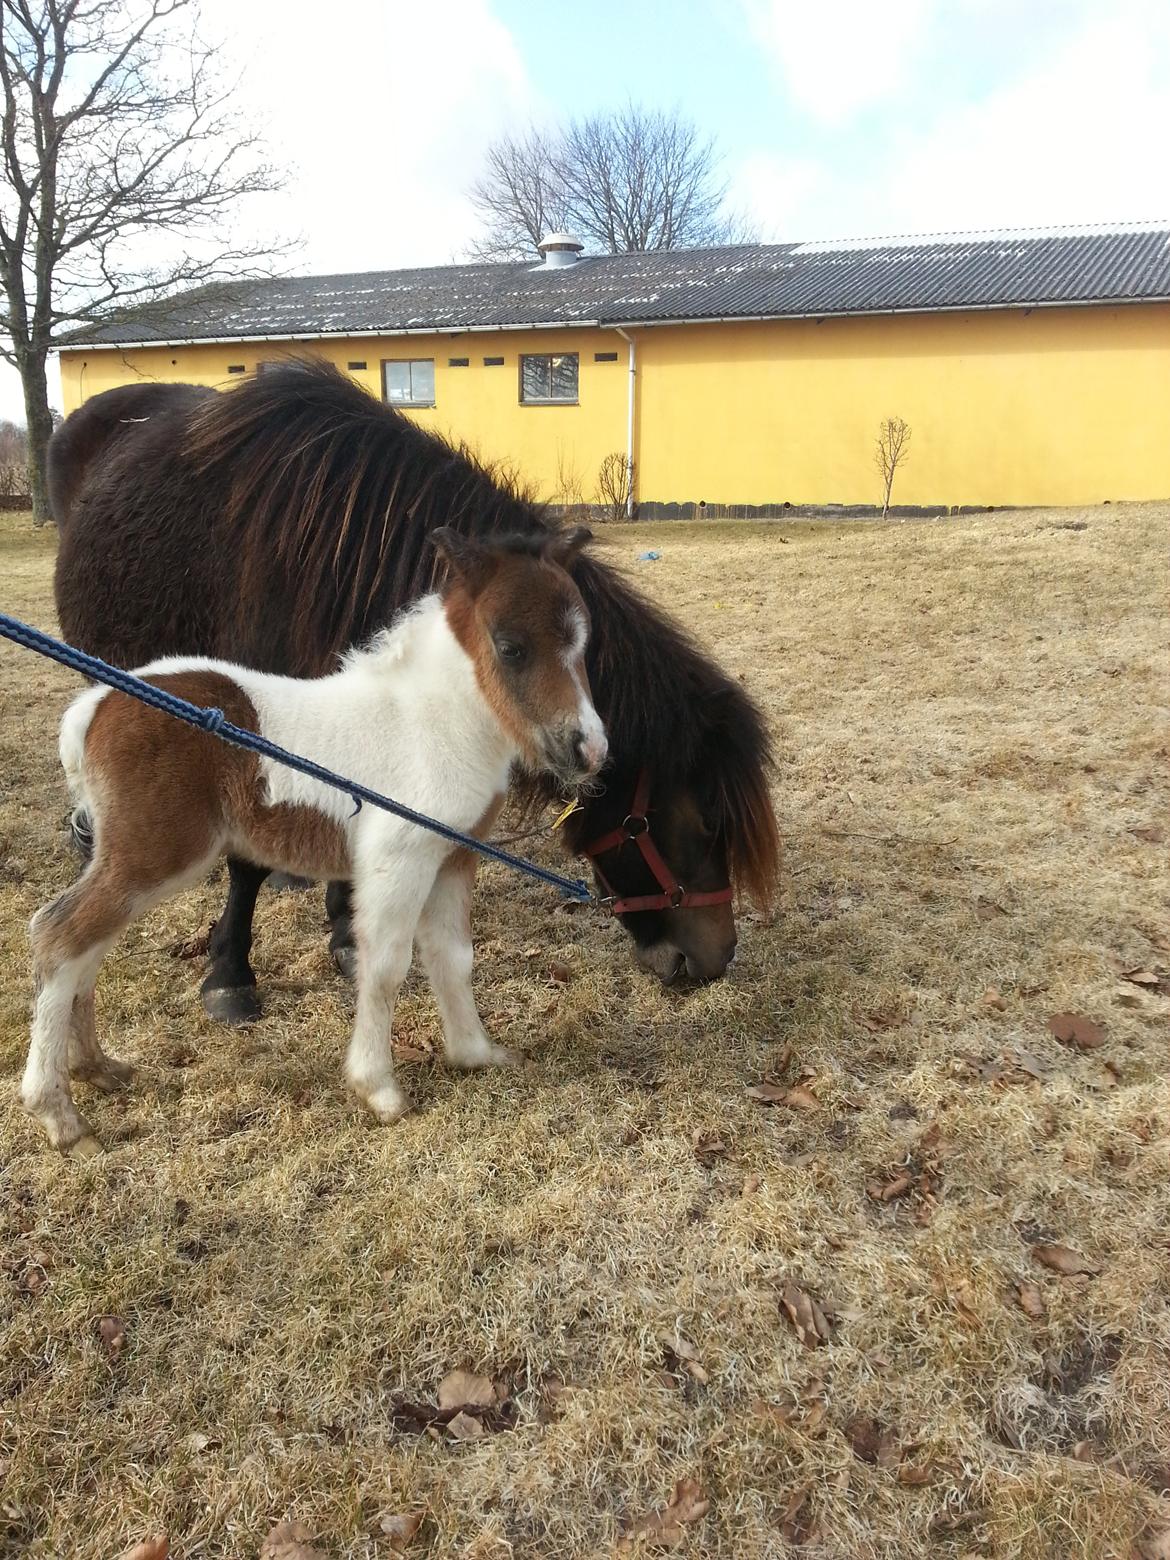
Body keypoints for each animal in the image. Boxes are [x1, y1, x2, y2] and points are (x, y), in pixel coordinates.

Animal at [22, 530, 608, 1154]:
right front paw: (379, 1090)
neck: (432, 724)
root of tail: (95, 706)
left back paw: (98, 1069)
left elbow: (453, 956)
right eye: (510, 647)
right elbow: (387, 965)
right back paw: (60, 1116)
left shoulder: (451, 858)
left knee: (87, 946)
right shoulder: (399, 860)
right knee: (59, 936)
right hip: (155, 854)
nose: (589, 749)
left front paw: (476, 1053)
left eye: (583, 644)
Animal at [50, 357, 780, 1010]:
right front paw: (230, 974)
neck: (335, 565)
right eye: (702, 820)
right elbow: (245, 868)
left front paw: (348, 935)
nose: (714, 960)